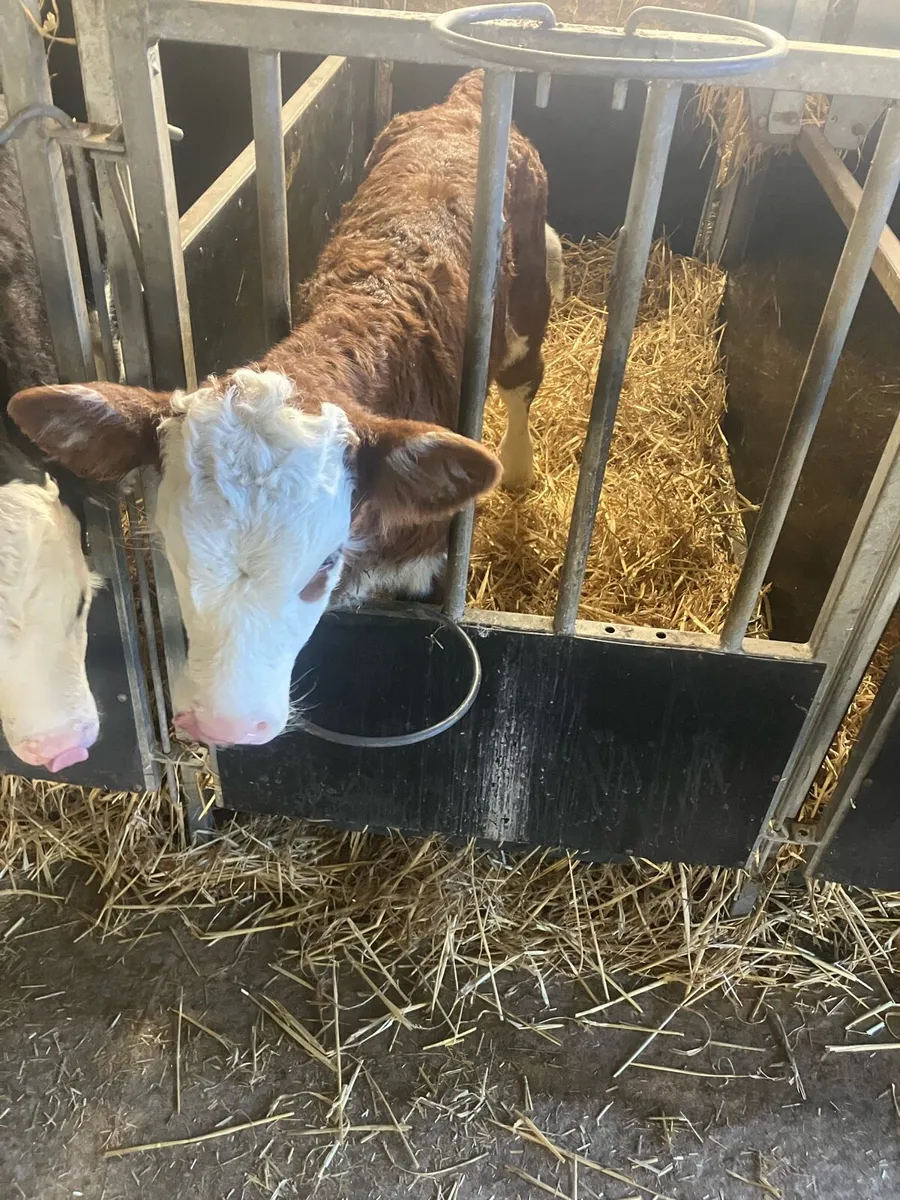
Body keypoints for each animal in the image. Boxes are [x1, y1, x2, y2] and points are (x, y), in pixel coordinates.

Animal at [10, 71, 563, 751]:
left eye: (323, 566)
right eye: (171, 549)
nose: (225, 723)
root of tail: (464, 98)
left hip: (525, 299)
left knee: (521, 379)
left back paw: (518, 466)